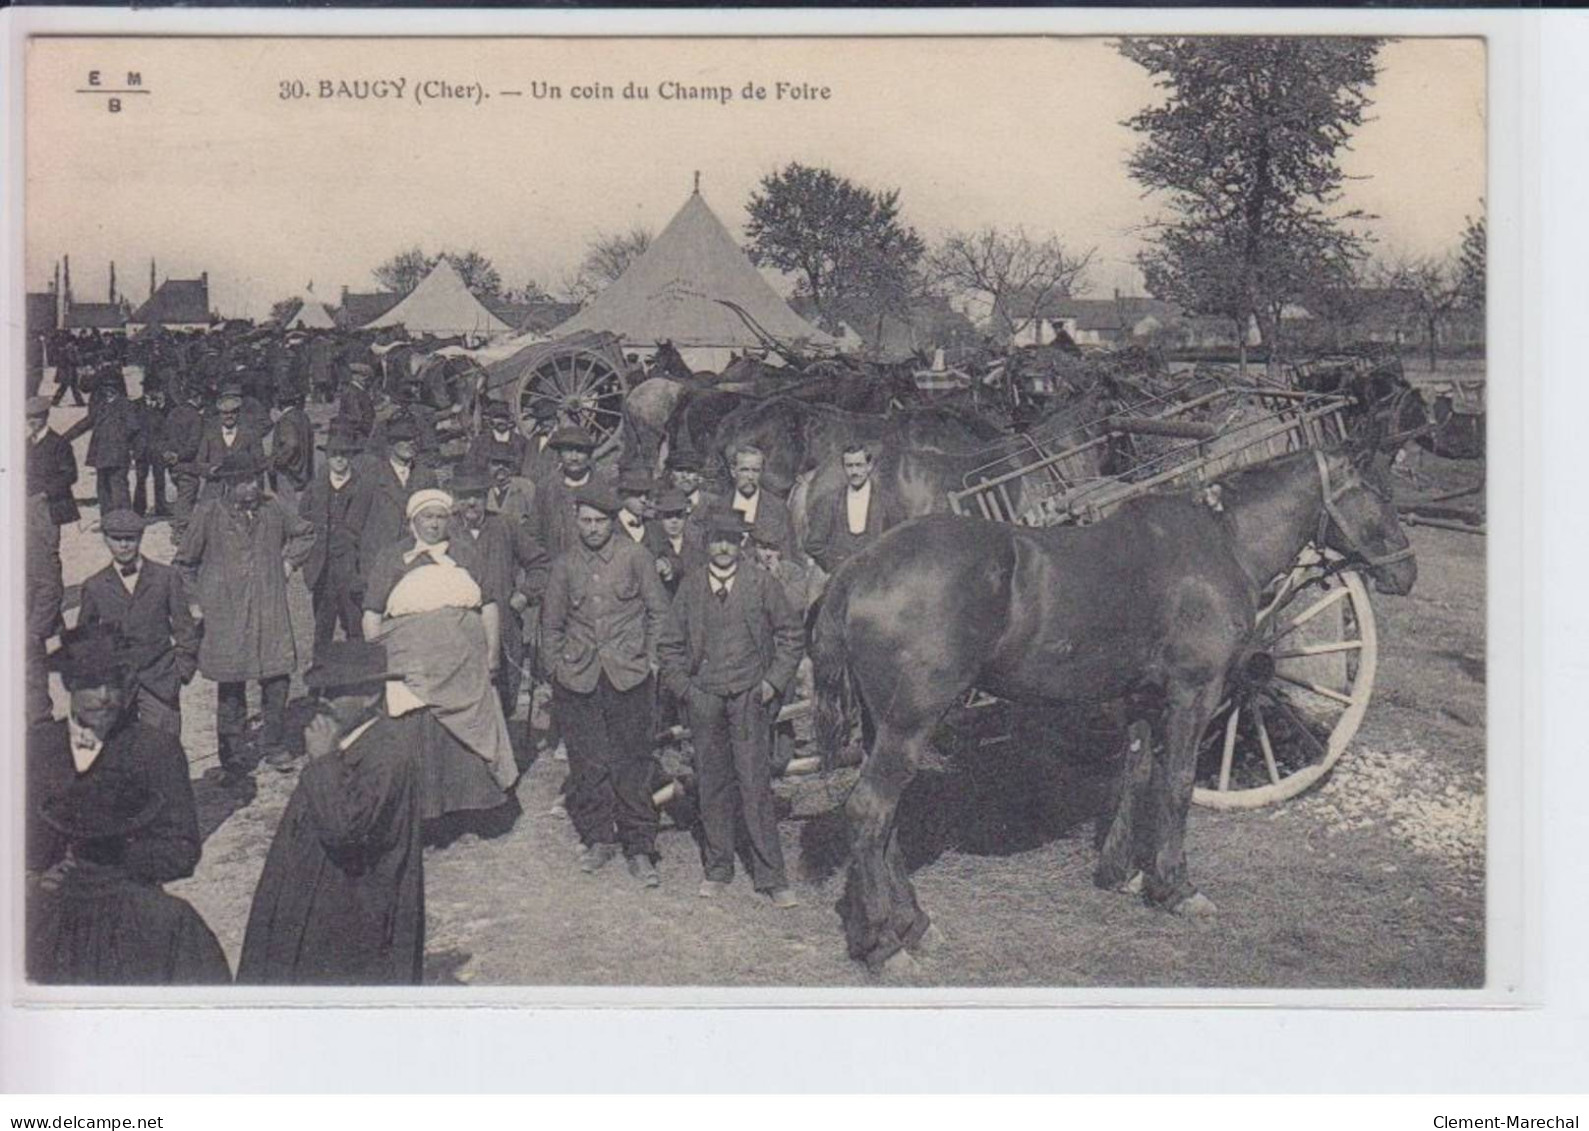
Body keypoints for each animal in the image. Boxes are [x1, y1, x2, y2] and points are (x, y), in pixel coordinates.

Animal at [807, 441, 1417, 972]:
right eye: (1377, 492)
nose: (1407, 571)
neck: (1220, 544)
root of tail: (857, 569)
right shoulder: (1194, 694)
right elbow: (1176, 784)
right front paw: (1176, 887)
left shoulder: (1143, 698)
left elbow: (1136, 773)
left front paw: (1122, 872)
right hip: (909, 725)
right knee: (870, 812)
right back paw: (883, 945)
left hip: (885, 726)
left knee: (885, 823)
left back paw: (913, 924)